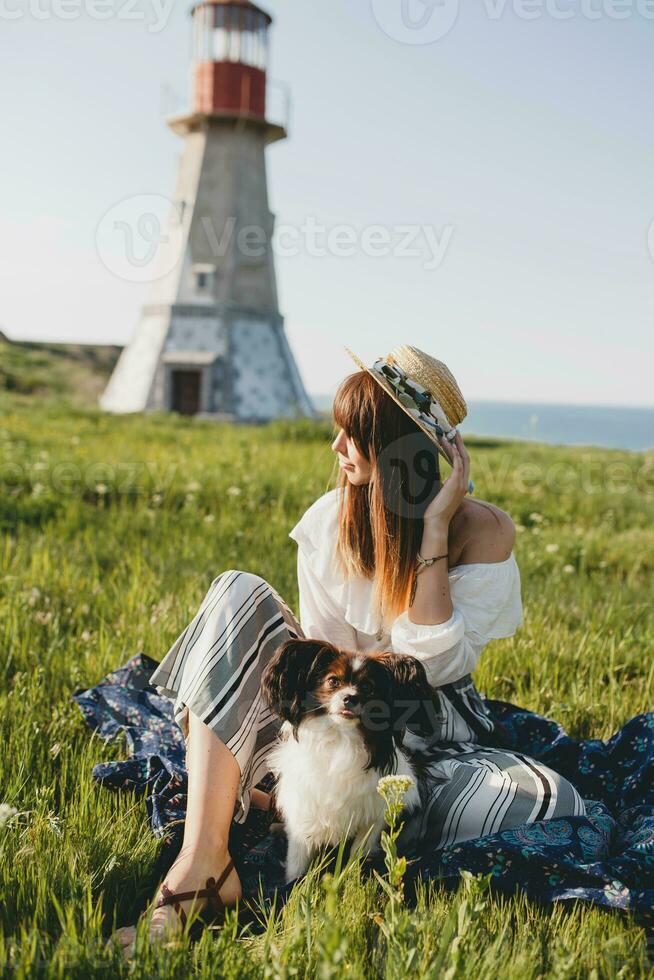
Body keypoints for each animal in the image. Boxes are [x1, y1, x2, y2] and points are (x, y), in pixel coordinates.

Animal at [262, 640, 436, 884]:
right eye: (333, 681)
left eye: (368, 687)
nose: (350, 698)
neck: (341, 737)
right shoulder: (303, 812)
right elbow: (297, 861)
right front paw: (293, 885)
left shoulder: (373, 818)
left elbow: (357, 854)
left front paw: (351, 880)